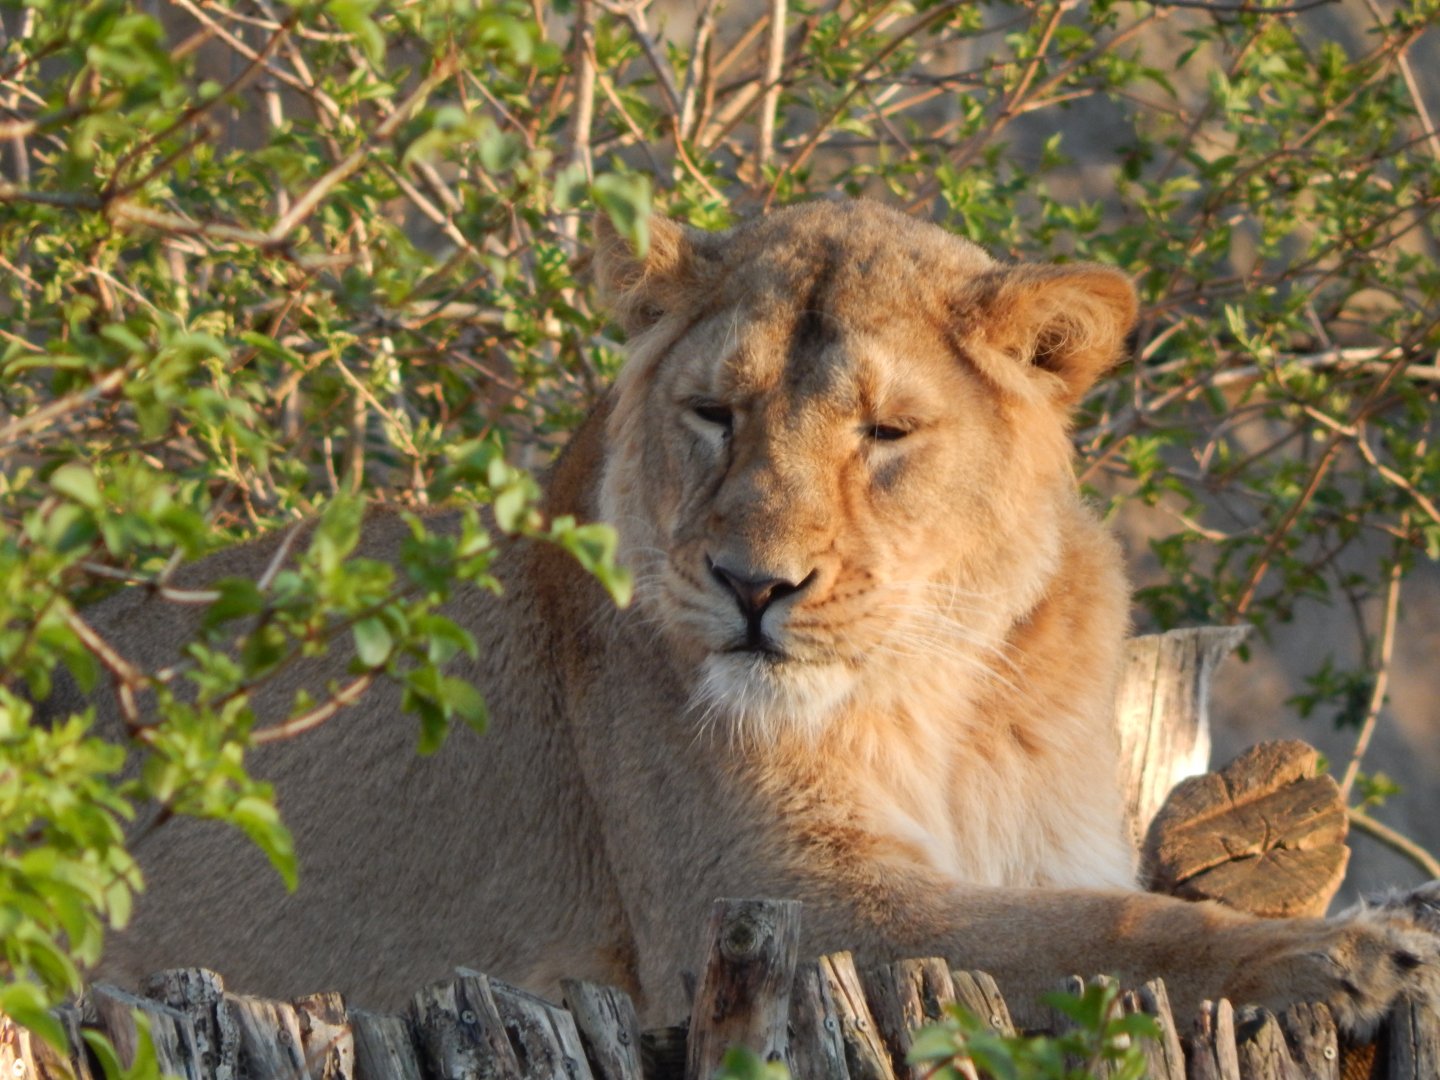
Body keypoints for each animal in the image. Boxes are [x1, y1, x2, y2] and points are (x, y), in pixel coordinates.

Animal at [74, 199, 1438, 1036]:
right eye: (713, 414)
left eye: (885, 433)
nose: (752, 585)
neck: (949, 697)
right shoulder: (756, 899)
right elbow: (1090, 936)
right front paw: (1348, 957)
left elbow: (1089, 906)